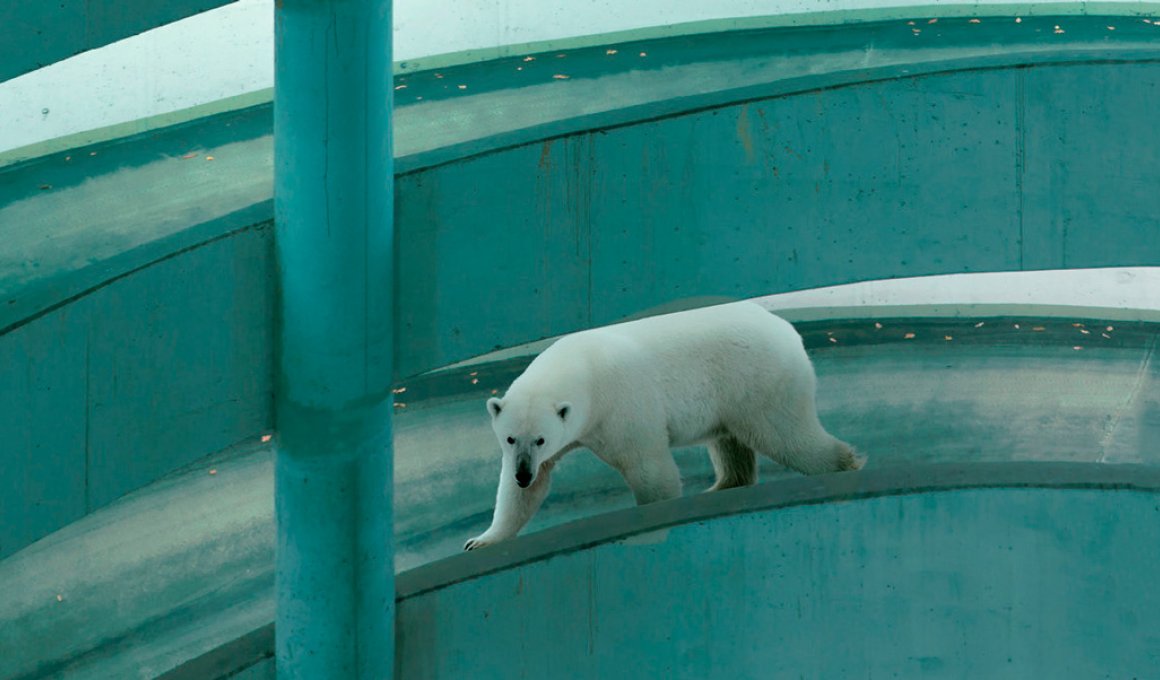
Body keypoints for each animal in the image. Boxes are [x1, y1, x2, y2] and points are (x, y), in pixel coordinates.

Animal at [464, 301, 863, 550]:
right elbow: (523, 495)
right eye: (510, 438)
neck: (584, 369)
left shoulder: (621, 405)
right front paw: (481, 540)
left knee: (785, 434)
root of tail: (785, 327)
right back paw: (722, 485)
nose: (523, 474)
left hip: (757, 377)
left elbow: (649, 470)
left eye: (541, 439)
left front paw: (646, 526)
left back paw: (846, 463)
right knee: (730, 440)